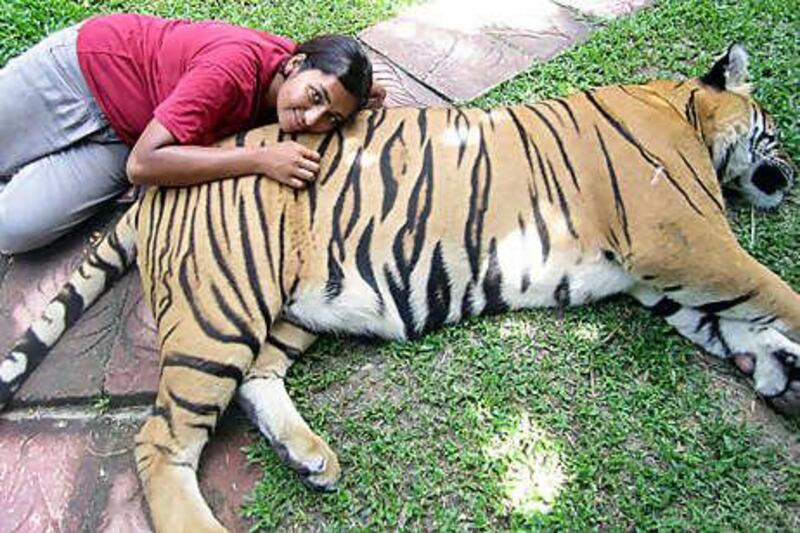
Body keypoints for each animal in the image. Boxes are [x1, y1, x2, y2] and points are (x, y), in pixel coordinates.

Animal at [0, 45, 796, 532]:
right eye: (778, 132)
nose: (789, 176)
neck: (683, 114)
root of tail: (152, 195)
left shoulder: (657, 276)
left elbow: (736, 325)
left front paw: (779, 376)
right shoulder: (683, 241)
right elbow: (778, 293)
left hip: (295, 303)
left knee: (257, 378)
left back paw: (310, 457)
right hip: (218, 308)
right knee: (160, 440)